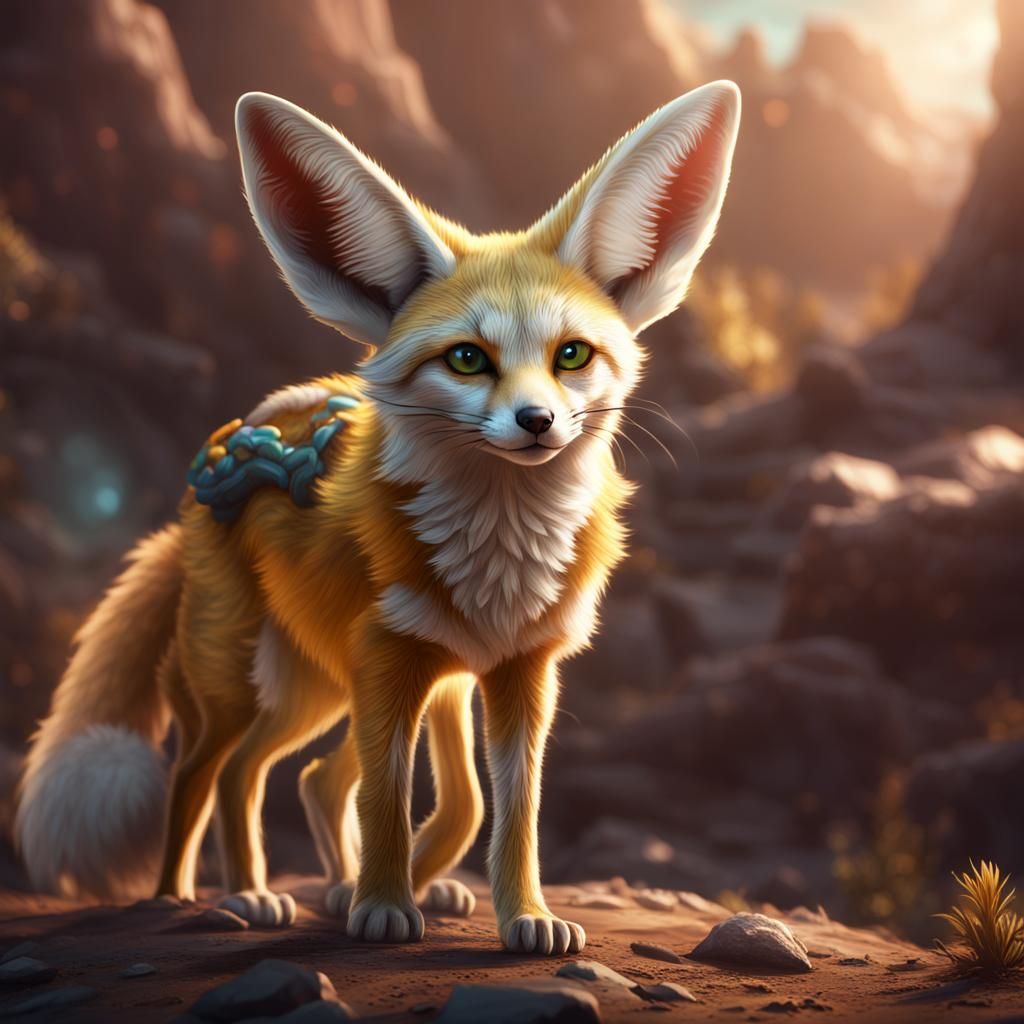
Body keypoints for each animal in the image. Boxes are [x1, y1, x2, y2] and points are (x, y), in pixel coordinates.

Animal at [15, 81, 740, 954]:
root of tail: (199, 488)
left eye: (571, 355)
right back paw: (210, 895)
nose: (537, 422)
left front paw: (518, 914)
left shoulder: (509, 671)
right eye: (467, 359)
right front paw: (386, 905)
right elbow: (390, 799)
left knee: (300, 777)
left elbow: (496, 808)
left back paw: (317, 886)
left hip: (323, 693)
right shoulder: (393, 661)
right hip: (257, 688)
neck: (497, 560)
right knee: (207, 773)